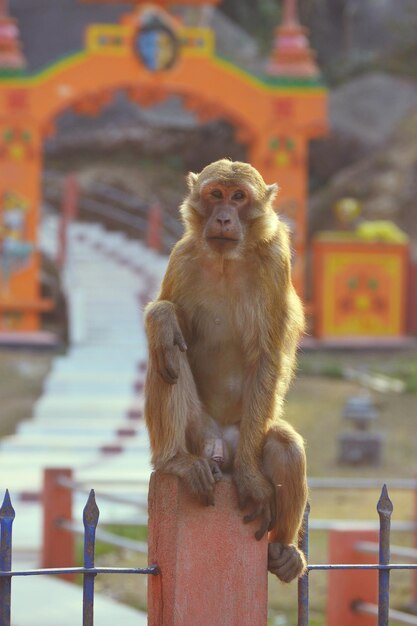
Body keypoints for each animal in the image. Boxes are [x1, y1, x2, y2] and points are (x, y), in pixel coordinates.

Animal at [145, 157, 308, 580]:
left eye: (238, 197)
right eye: (216, 194)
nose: (222, 218)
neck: (225, 262)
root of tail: (219, 445)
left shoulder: (275, 262)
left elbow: (268, 356)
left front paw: (251, 480)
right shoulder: (182, 255)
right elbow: (172, 321)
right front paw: (163, 317)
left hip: (244, 440)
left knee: (282, 444)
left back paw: (284, 552)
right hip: (195, 431)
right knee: (165, 356)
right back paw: (174, 461)